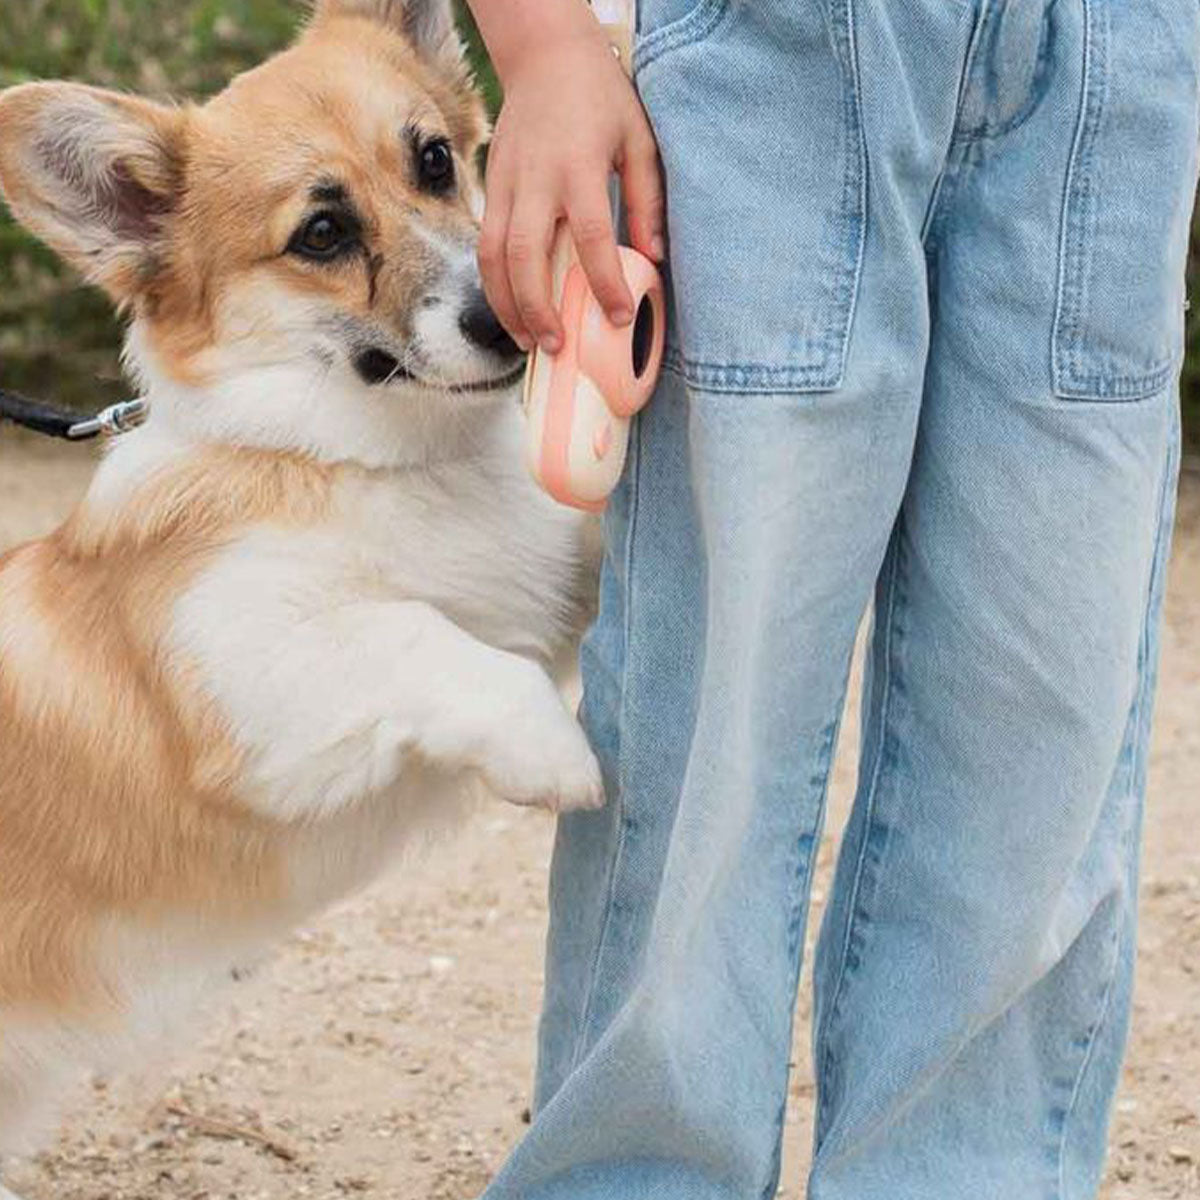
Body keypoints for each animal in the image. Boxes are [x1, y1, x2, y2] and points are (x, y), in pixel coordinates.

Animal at [0, 0, 604, 1171]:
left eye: (434, 159)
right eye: (321, 234)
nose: (508, 321)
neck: (374, 462)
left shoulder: (546, 591)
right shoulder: (247, 671)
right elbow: (420, 637)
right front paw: (551, 754)